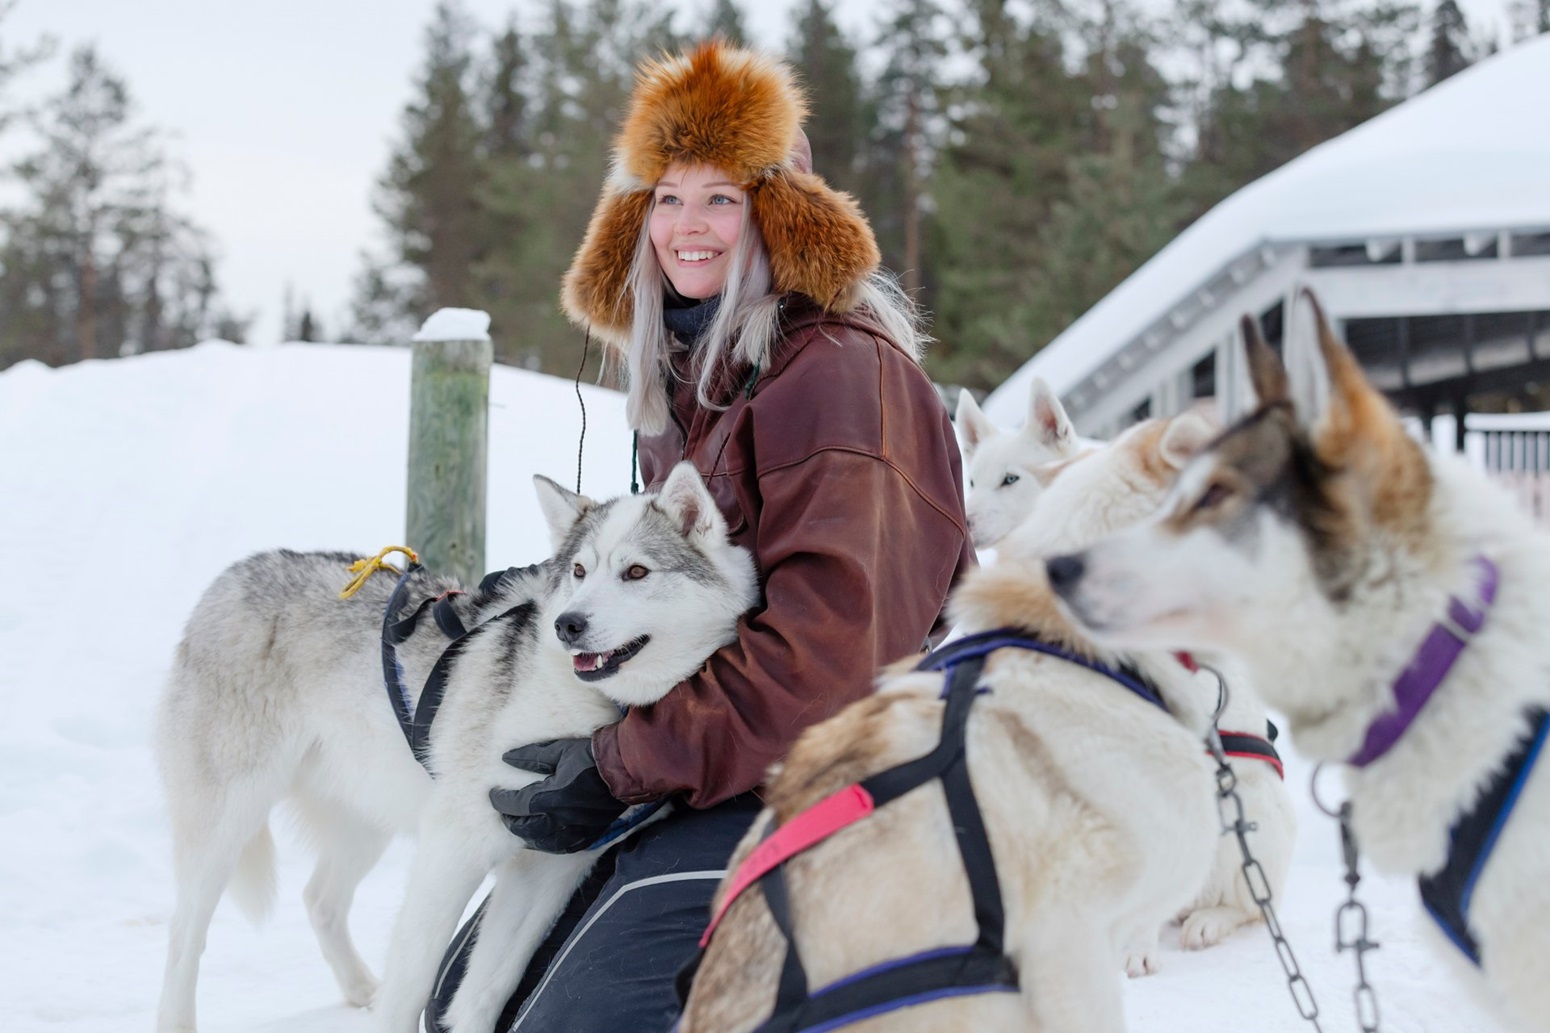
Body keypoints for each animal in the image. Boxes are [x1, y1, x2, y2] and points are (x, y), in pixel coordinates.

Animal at [155, 462, 756, 1029]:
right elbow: (414, 988)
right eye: (580, 571)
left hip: (370, 818)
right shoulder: (453, 846)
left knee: (319, 899)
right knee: (184, 936)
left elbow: (483, 995)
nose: (567, 624)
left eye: (636, 572)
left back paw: (360, 989)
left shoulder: (546, 863)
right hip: (228, 821)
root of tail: (234, 574)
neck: (597, 712)